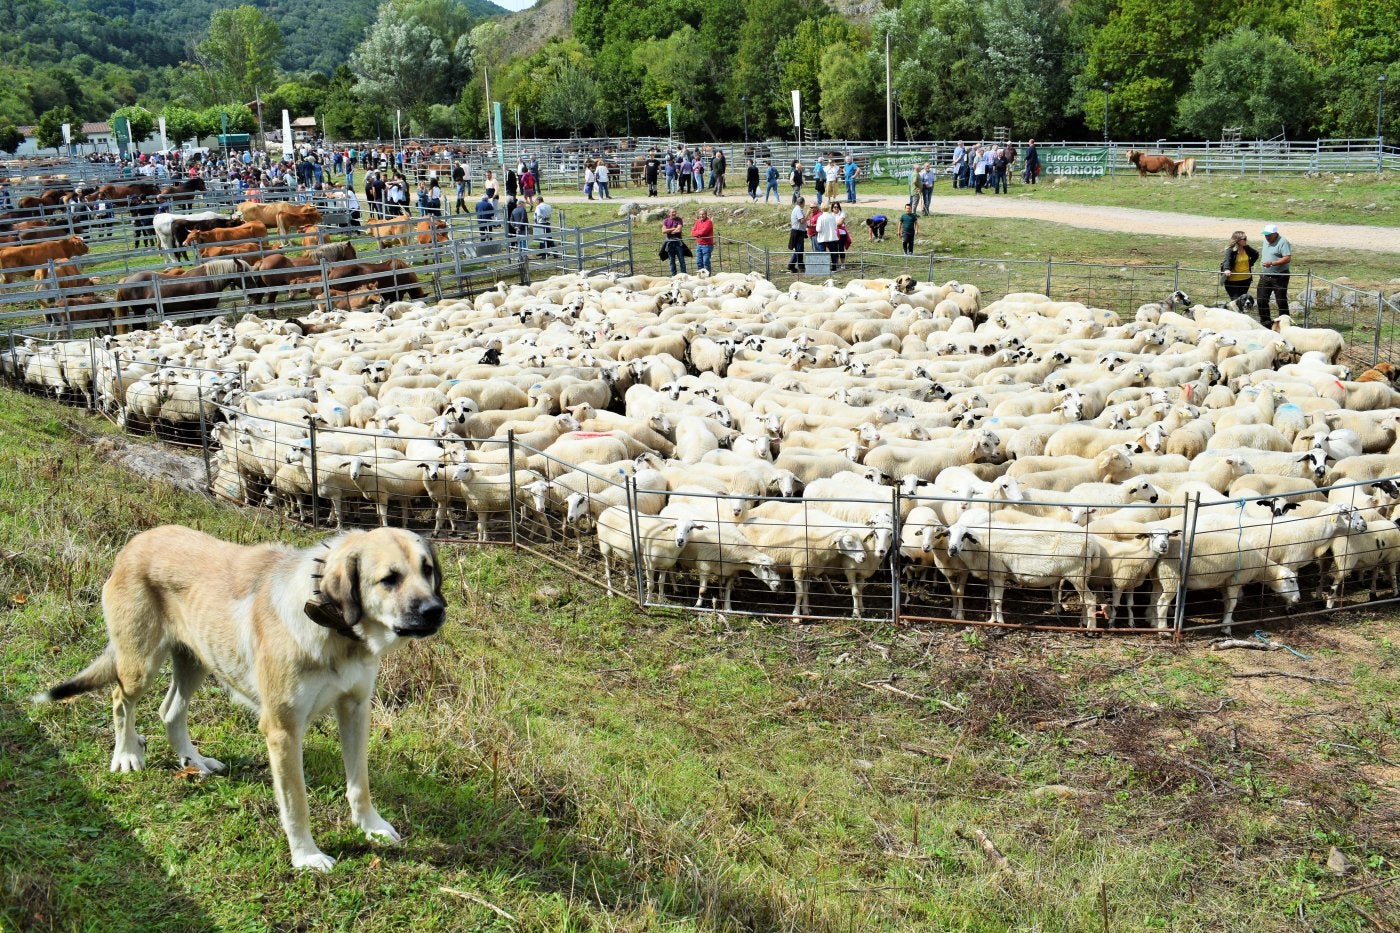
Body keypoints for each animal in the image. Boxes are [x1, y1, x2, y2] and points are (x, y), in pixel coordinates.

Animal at [34, 526, 448, 868]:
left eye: (427, 570)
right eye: (389, 579)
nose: (435, 611)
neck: (337, 633)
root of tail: (135, 542)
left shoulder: (355, 710)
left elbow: (359, 782)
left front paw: (371, 826)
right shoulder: (283, 730)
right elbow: (296, 802)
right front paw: (306, 855)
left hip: (196, 661)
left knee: (169, 711)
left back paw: (194, 761)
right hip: (141, 665)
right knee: (122, 700)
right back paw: (126, 755)